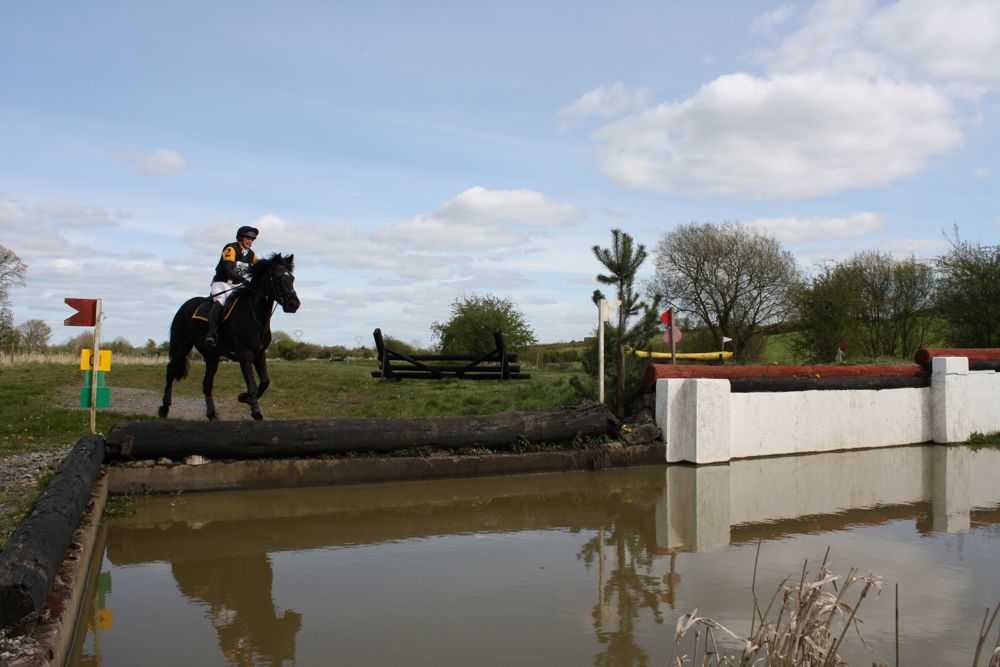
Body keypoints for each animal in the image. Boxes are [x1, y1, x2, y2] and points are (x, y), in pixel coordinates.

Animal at [158, 253, 300, 421]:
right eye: (278, 277)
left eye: (292, 278)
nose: (294, 304)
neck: (254, 315)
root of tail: (184, 306)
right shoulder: (244, 355)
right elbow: (252, 384)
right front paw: (255, 411)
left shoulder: (259, 354)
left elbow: (265, 381)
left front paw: (243, 398)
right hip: (181, 346)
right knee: (170, 372)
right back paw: (164, 408)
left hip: (211, 355)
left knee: (207, 384)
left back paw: (212, 414)